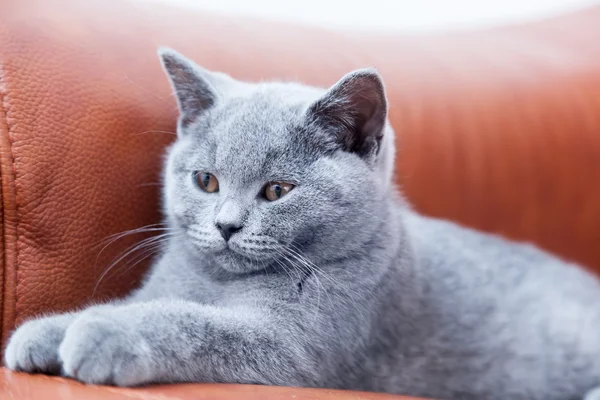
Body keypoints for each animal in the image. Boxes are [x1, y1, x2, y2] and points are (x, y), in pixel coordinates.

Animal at [4, 47, 600, 400]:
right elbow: (140, 303)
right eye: (206, 181)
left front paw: (101, 332)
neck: (219, 284)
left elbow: (190, 322)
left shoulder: (294, 347)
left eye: (277, 191)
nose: (226, 225)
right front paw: (42, 333)